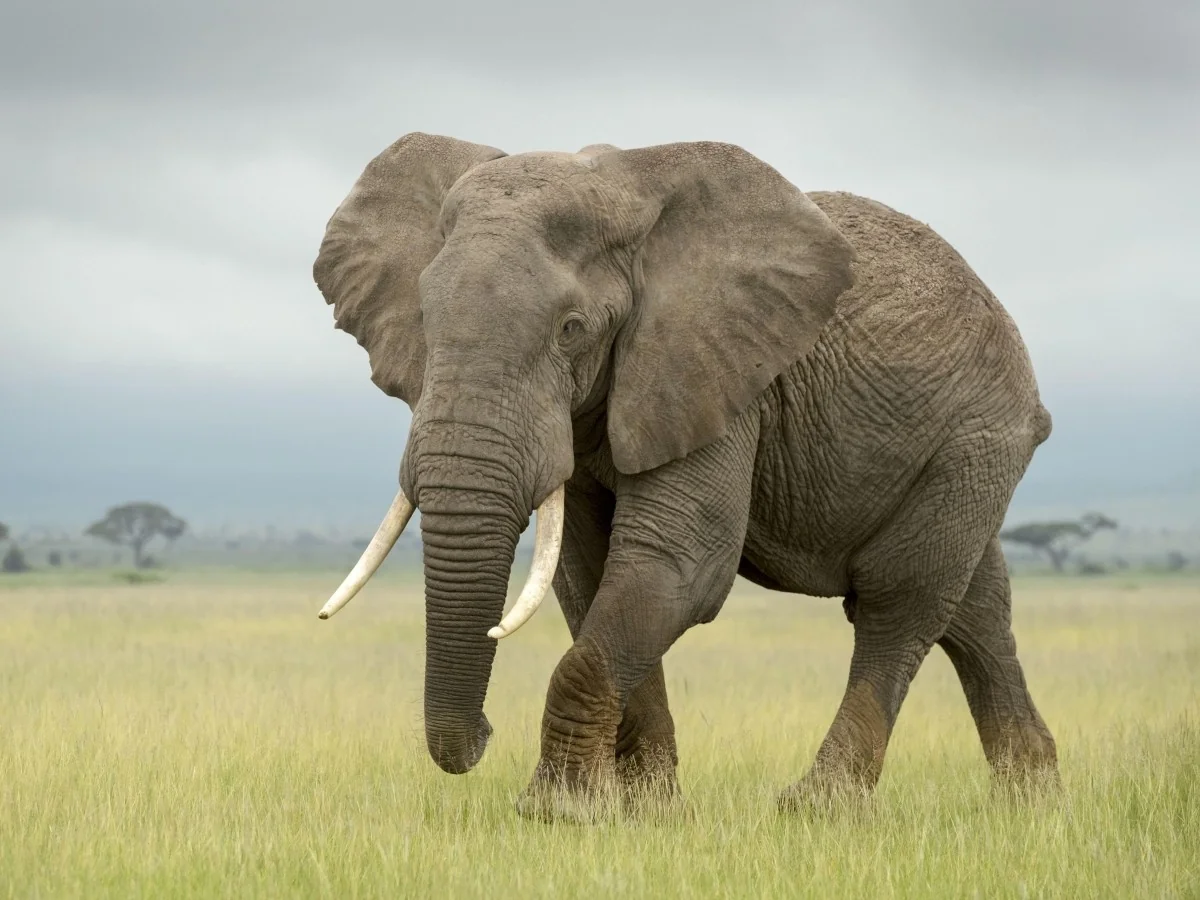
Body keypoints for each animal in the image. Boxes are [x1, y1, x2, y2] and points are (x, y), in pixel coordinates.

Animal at [311, 132, 1059, 819]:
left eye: (571, 329)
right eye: (424, 321)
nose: (483, 737)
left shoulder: (718, 372)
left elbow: (678, 563)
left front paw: (560, 812)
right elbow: (589, 574)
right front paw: (647, 811)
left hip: (977, 437)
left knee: (899, 599)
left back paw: (817, 808)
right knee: (974, 609)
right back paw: (1030, 801)